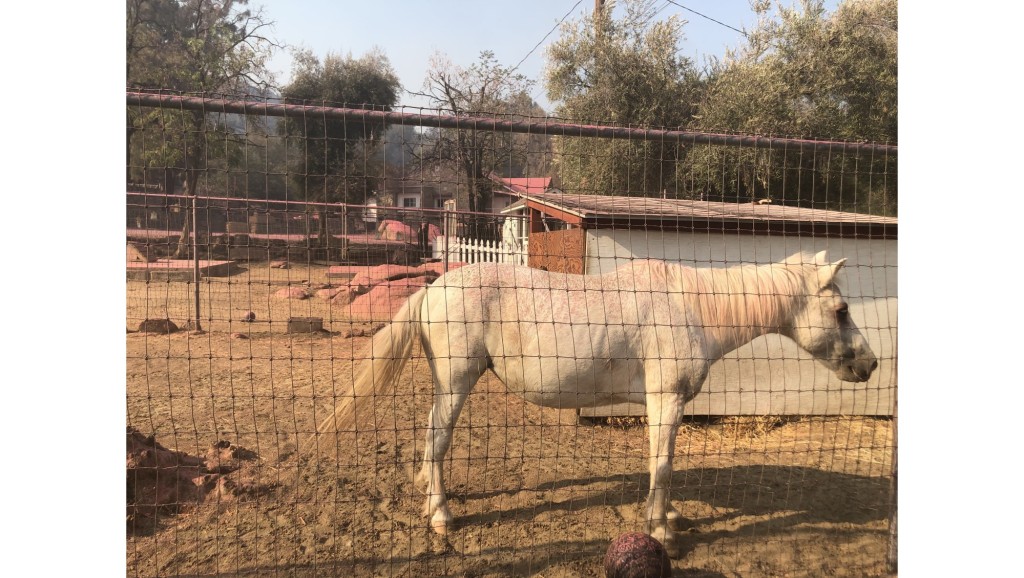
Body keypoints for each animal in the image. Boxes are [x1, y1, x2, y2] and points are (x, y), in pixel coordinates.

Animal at [309, 251, 872, 557]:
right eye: (842, 310)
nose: (869, 365)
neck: (691, 306)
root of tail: (433, 287)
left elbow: (658, 465)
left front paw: (668, 518)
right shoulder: (665, 402)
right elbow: (663, 466)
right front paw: (661, 531)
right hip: (456, 382)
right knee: (437, 438)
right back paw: (441, 515)